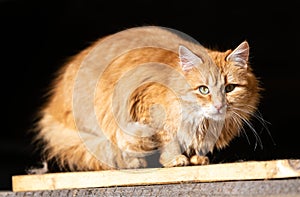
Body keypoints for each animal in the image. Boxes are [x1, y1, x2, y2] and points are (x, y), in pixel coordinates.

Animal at [32, 25, 262, 171]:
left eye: (230, 88)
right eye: (204, 90)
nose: (218, 106)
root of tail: (52, 110)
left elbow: (191, 145)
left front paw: (196, 159)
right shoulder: (147, 108)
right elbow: (169, 140)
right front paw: (175, 160)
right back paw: (133, 164)